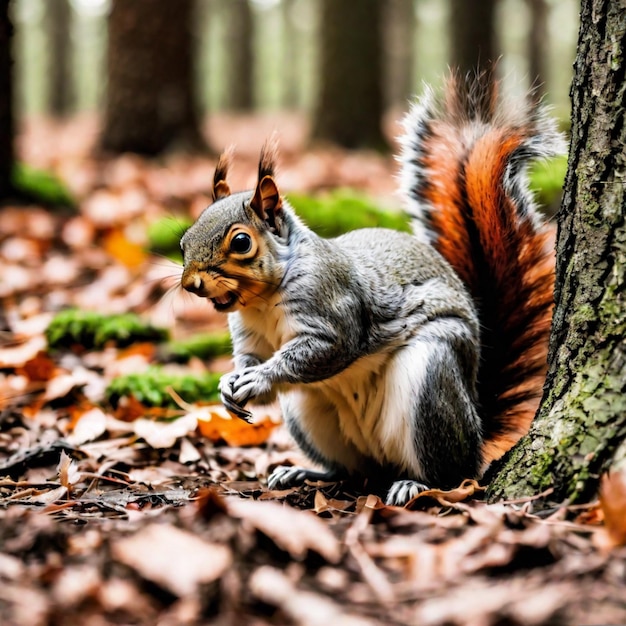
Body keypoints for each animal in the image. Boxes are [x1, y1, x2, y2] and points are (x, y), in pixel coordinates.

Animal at [179, 73, 560, 504]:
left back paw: (417, 483)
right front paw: (230, 384)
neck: (263, 301)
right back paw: (302, 472)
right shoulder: (250, 335)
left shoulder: (333, 306)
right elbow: (249, 358)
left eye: (241, 242)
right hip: (311, 416)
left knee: (452, 471)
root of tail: (477, 427)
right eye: (185, 238)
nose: (191, 284)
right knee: (349, 470)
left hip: (432, 375)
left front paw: (259, 378)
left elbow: (326, 349)